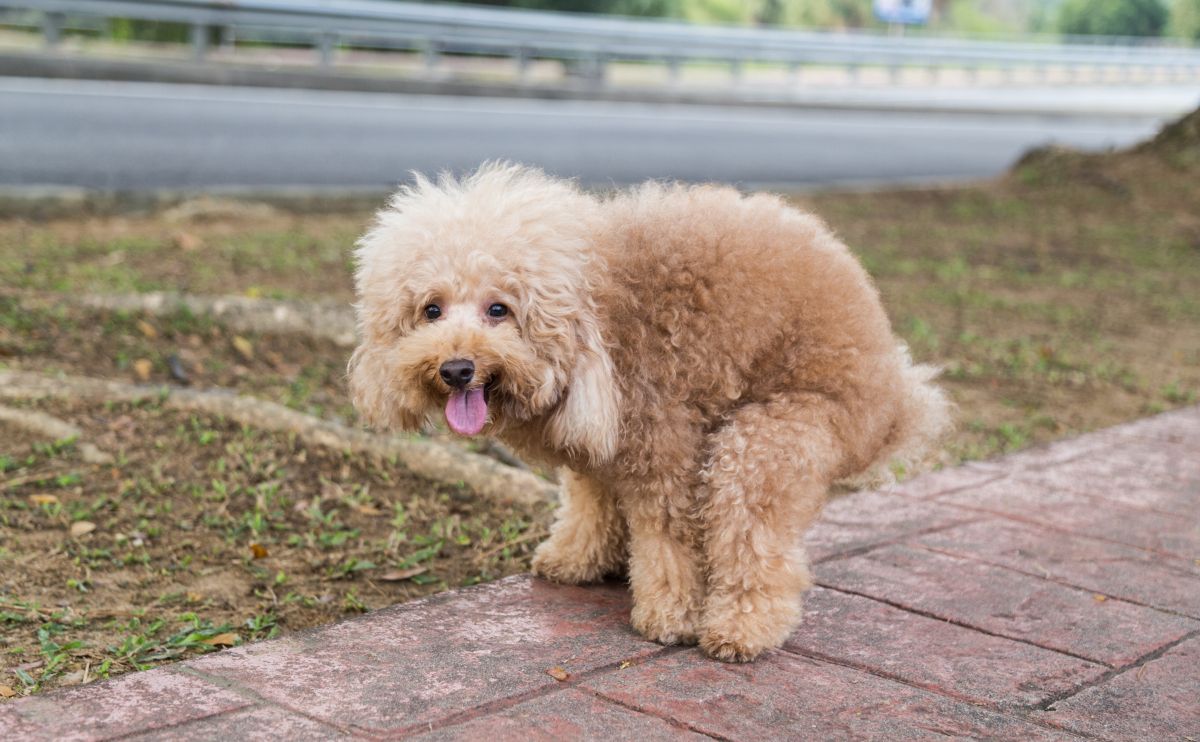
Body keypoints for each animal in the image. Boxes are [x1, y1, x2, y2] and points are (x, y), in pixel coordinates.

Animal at [348, 163, 945, 657]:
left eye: (499, 310)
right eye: (431, 310)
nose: (456, 369)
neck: (598, 307)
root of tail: (896, 400)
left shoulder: (663, 445)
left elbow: (668, 539)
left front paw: (670, 616)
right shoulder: (595, 445)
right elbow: (590, 501)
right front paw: (577, 559)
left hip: (773, 435)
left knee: (752, 534)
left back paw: (740, 629)